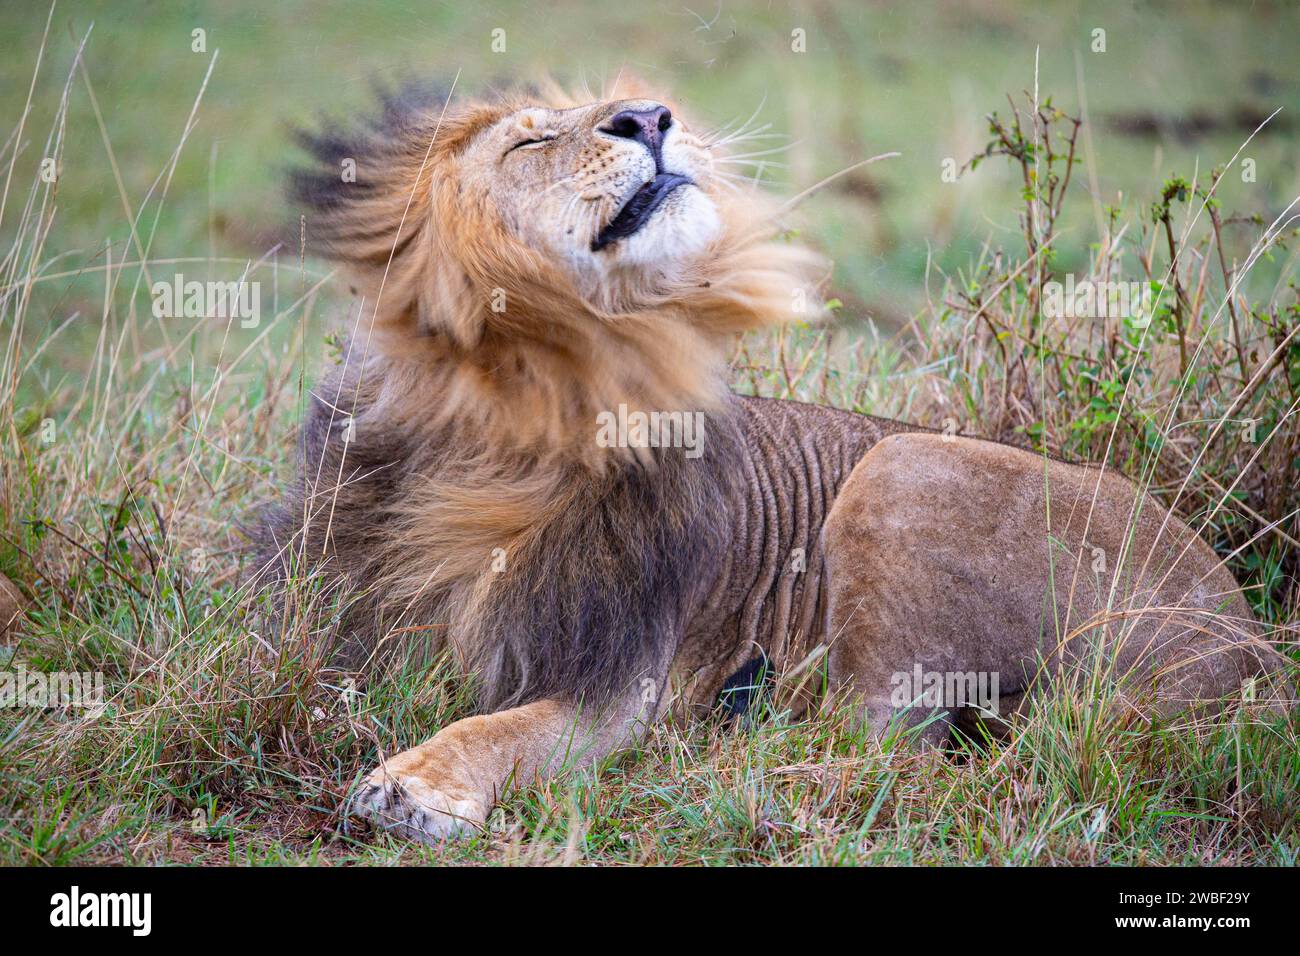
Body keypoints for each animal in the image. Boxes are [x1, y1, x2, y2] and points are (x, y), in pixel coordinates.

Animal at [255, 80, 1280, 842]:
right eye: (528, 142)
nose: (650, 116)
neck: (517, 421)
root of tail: (1246, 642)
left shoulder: (619, 682)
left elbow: (505, 726)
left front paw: (415, 784)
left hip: (903, 467)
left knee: (883, 748)